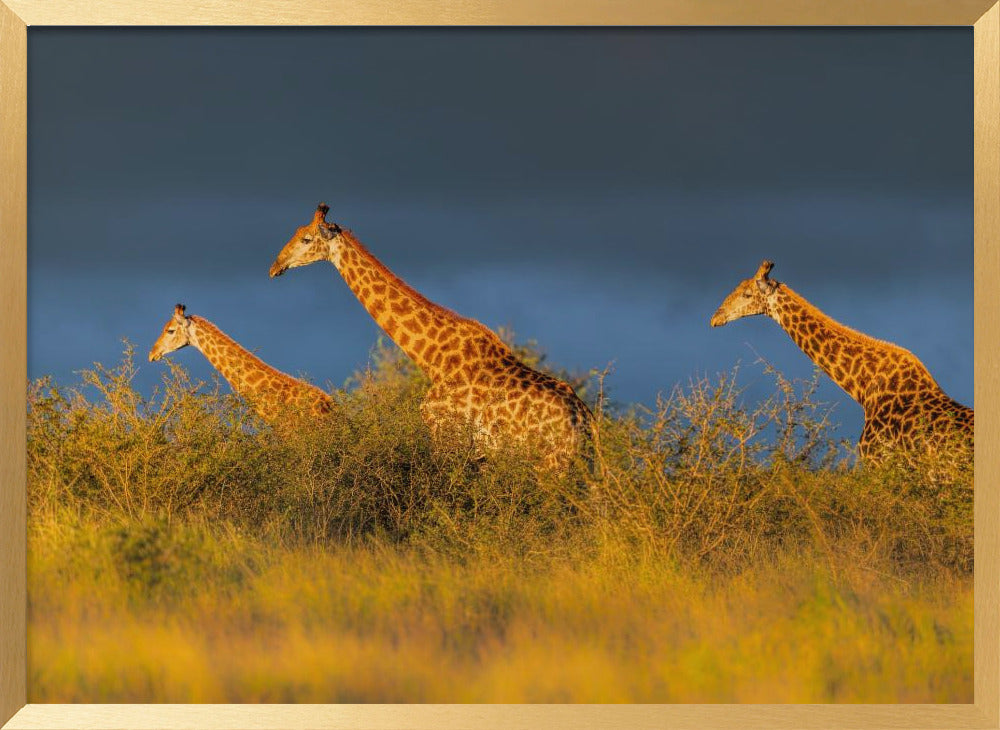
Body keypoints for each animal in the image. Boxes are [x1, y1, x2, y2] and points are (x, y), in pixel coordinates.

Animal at [268, 204, 593, 470]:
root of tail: (584, 422)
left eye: (306, 239)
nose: (274, 266)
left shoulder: (444, 436)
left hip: (550, 464)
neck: (433, 359)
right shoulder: (478, 453)